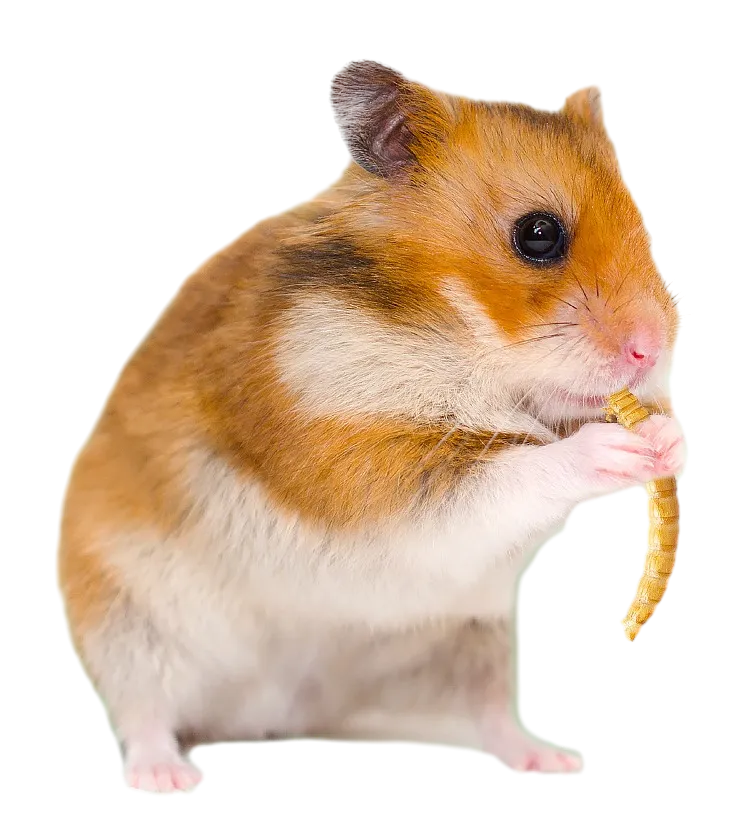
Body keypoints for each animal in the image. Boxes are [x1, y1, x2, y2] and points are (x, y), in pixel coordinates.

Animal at [56, 59, 685, 790]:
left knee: (487, 712)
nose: (652, 350)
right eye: (538, 235)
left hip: (471, 641)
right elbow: (511, 471)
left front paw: (672, 439)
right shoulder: (360, 471)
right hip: (129, 627)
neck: (452, 339)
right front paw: (614, 445)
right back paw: (170, 778)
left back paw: (552, 760)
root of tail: (271, 713)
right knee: (144, 715)